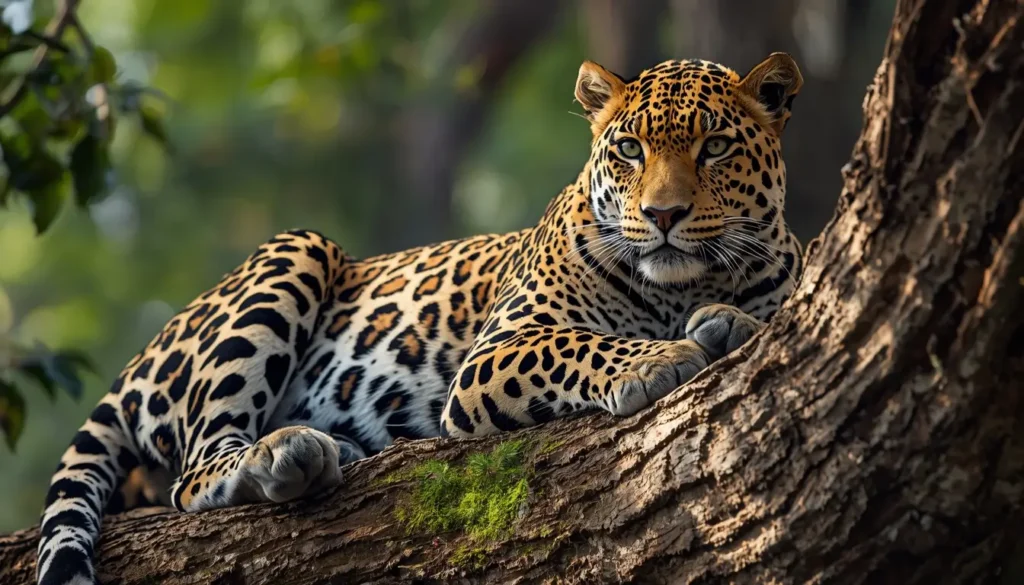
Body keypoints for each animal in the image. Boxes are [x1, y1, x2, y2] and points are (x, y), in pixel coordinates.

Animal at [36, 52, 804, 585]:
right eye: (629, 150)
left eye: (715, 147)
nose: (662, 214)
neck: (680, 287)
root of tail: (145, 354)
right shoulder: (498, 351)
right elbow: (579, 343)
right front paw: (657, 358)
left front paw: (725, 324)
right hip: (297, 250)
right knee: (193, 469)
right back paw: (288, 452)